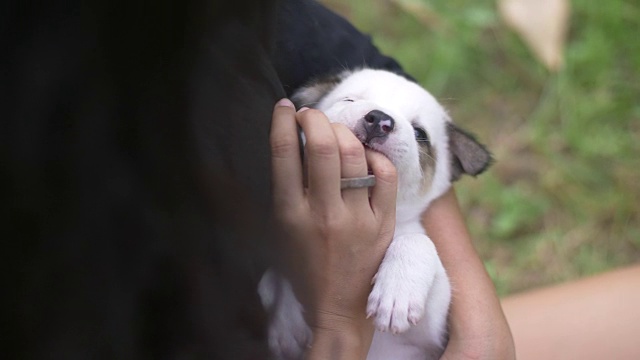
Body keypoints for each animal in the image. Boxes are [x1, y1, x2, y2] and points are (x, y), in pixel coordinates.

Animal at [258, 69, 492, 358]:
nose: (379, 119)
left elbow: (417, 241)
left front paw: (398, 292)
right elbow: (273, 273)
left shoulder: (431, 335)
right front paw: (285, 318)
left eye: (420, 133)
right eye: (349, 100)